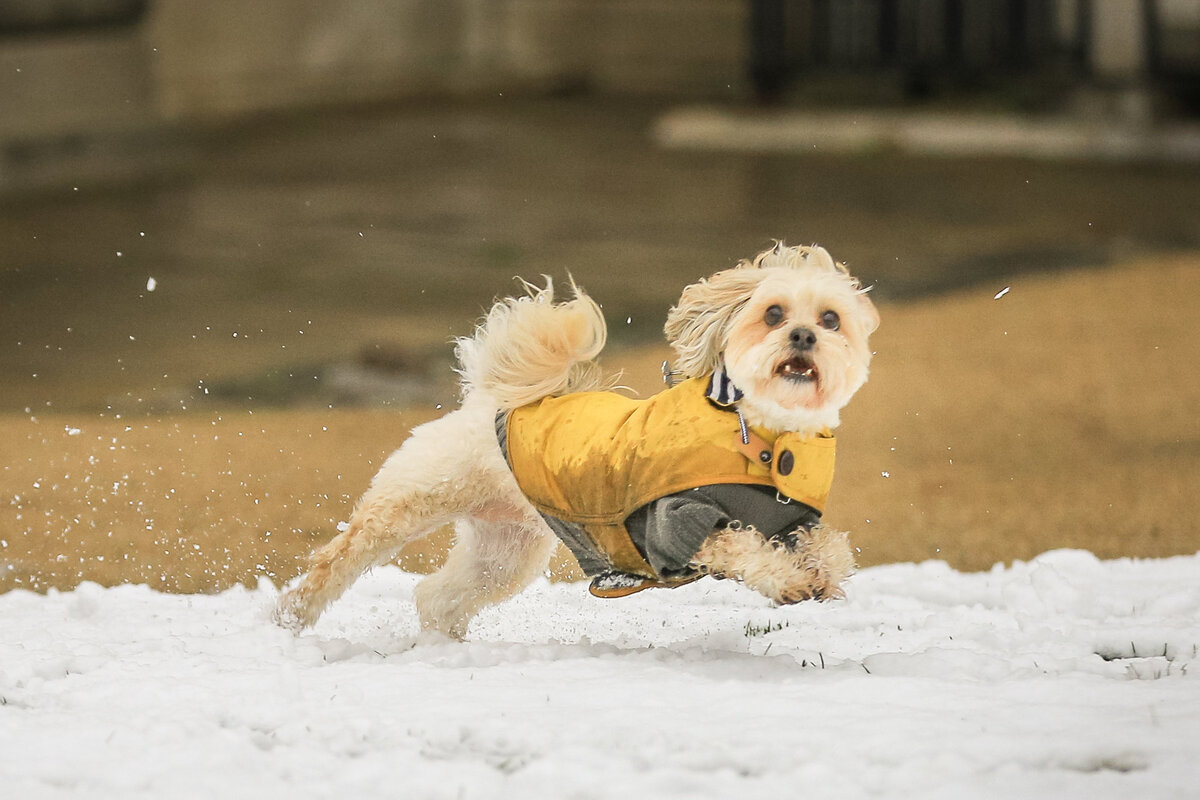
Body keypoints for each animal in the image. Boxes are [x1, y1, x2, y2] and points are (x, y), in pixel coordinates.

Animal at [278, 241, 883, 642]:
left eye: (831, 319)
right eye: (773, 313)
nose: (803, 335)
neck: (763, 433)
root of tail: (489, 402)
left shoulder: (795, 519)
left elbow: (831, 546)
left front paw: (820, 576)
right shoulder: (676, 523)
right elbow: (741, 546)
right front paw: (788, 582)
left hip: (506, 552)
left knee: (437, 597)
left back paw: (443, 648)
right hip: (407, 503)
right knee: (336, 561)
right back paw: (289, 617)